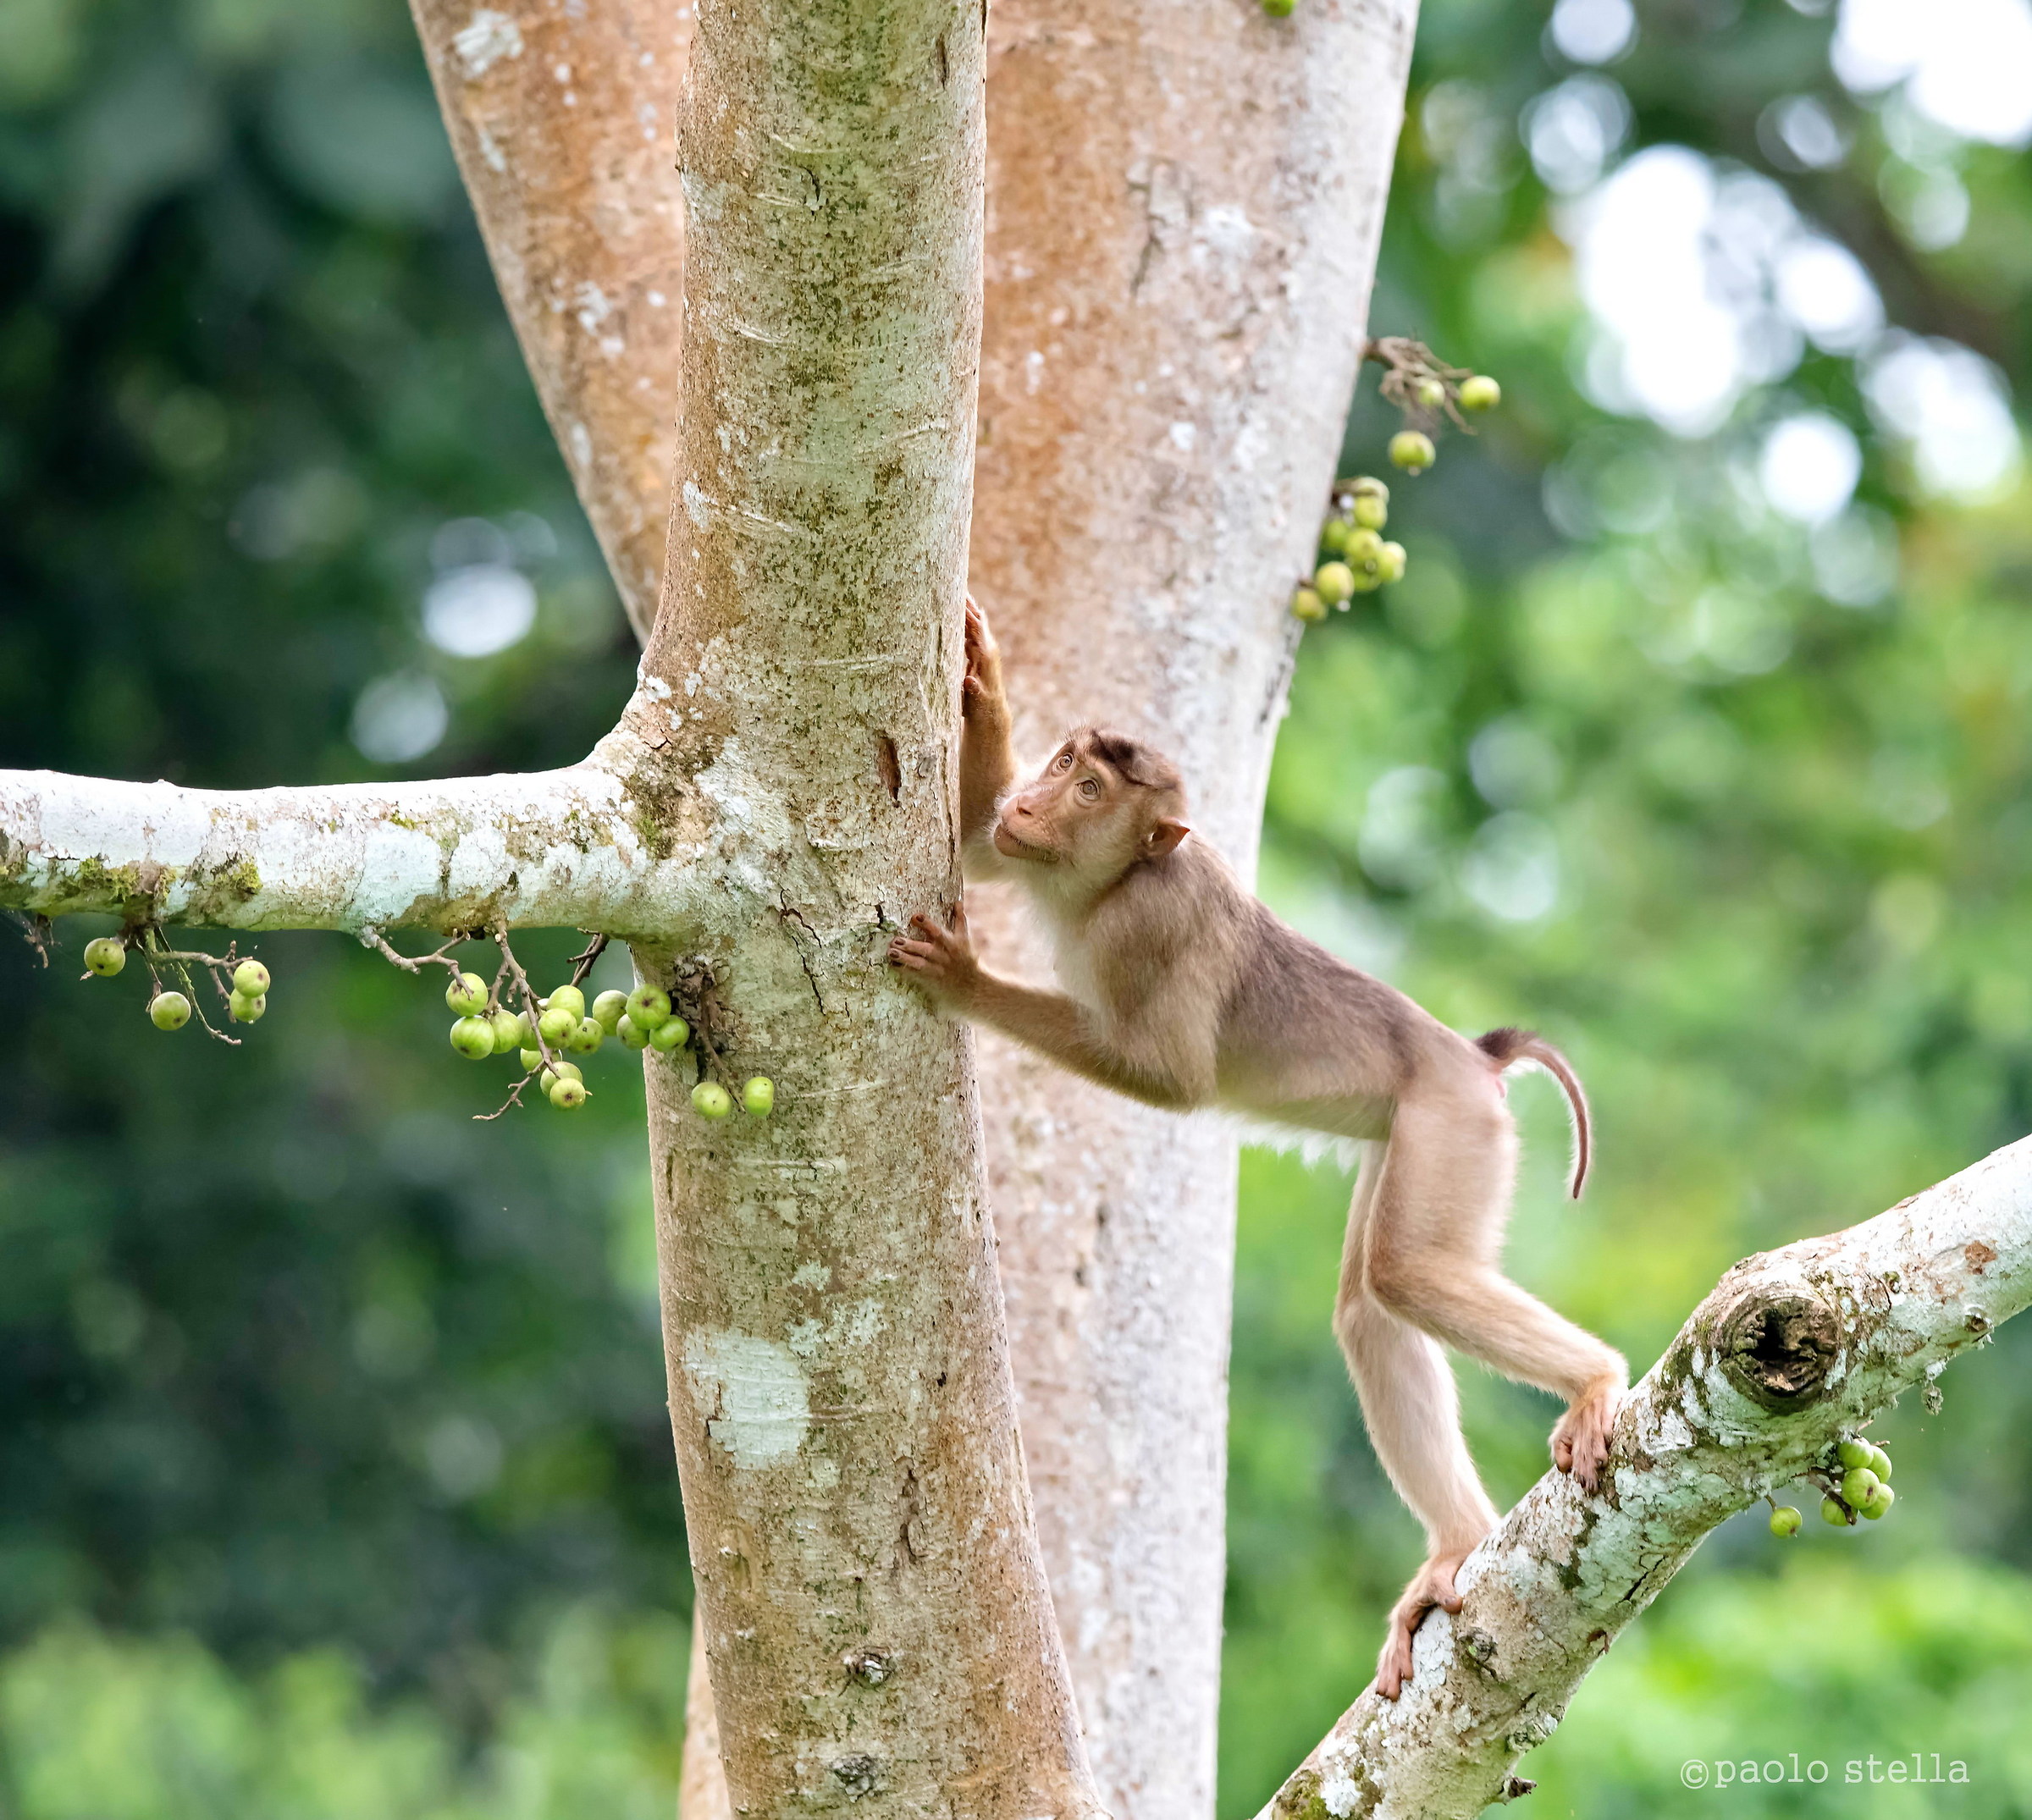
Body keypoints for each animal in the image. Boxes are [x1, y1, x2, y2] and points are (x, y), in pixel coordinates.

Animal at [889, 598, 1626, 1701]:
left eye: (1091, 787)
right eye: (1060, 763)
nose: (1039, 799)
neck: (1109, 882)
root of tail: (1469, 1052)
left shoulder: (1152, 924)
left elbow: (1174, 1080)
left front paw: (967, 979)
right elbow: (978, 846)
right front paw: (984, 681)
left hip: (1452, 1119)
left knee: (1404, 1273)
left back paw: (1597, 1380)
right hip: (1409, 1128)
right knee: (1370, 1305)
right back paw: (1458, 1541)